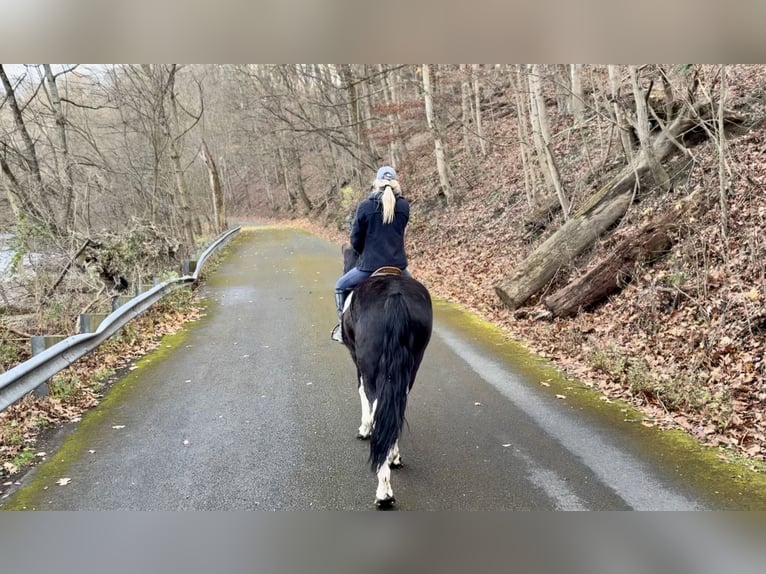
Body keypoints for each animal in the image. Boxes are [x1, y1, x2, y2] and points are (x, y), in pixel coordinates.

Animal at [339, 245, 433, 508]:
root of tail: (394, 294)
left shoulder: (356, 359)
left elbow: (361, 392)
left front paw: (364, 429)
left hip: (371, 365)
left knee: (377, 402)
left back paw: (384, 492)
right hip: (411, 365)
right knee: (396, 405)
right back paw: (394, 457)